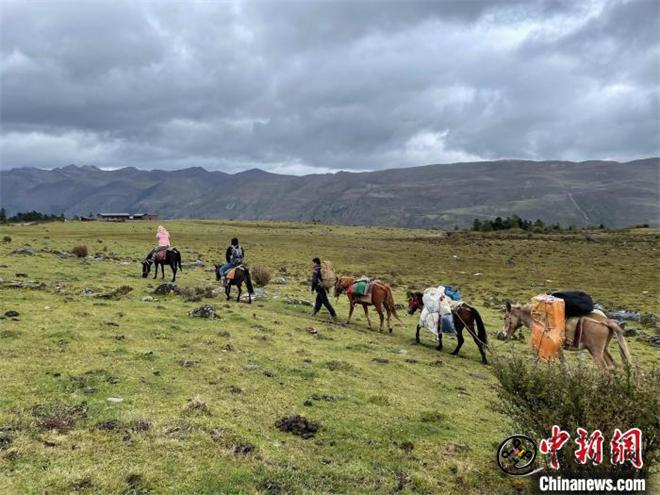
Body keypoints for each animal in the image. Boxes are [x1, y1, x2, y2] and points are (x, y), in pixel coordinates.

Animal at [500, 302, 636, 372]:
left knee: (605, 371)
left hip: (596, 352)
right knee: (613, 366)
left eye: (505, 317)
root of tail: (606, 321)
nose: (502, 335)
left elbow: (538, 361)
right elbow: (563, 365)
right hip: (603, 350)